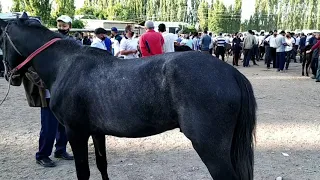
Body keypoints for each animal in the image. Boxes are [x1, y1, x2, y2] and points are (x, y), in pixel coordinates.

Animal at [0, 15, 256, 180]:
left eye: (1, 40)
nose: (9, 74)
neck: (66, 64)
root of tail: (230, 73)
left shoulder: (76, 132)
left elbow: (84, 172)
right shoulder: (96, 132)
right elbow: (102, 165)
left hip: (210, 149)